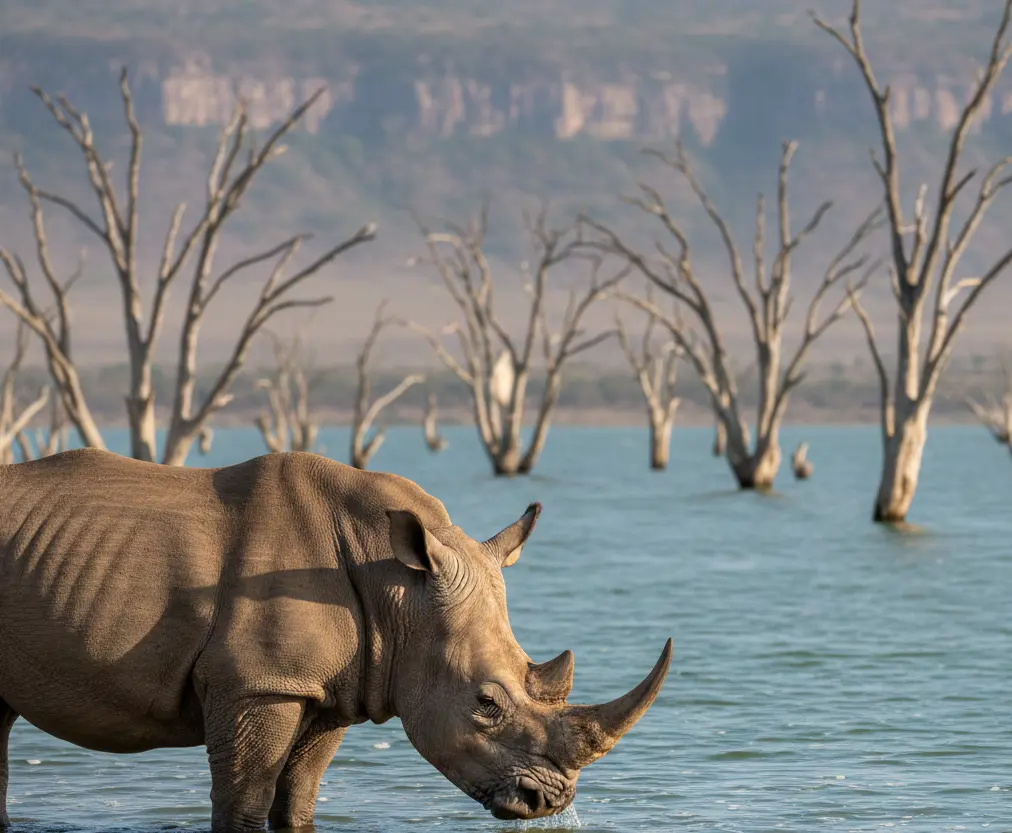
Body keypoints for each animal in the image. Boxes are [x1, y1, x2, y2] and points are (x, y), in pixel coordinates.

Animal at [0, 448, 671, 831]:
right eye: (485, 703)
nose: (549, 802)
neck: (397, 585)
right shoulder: (260, 684)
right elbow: (244, 800)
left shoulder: (331, 686)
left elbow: (297, 799)